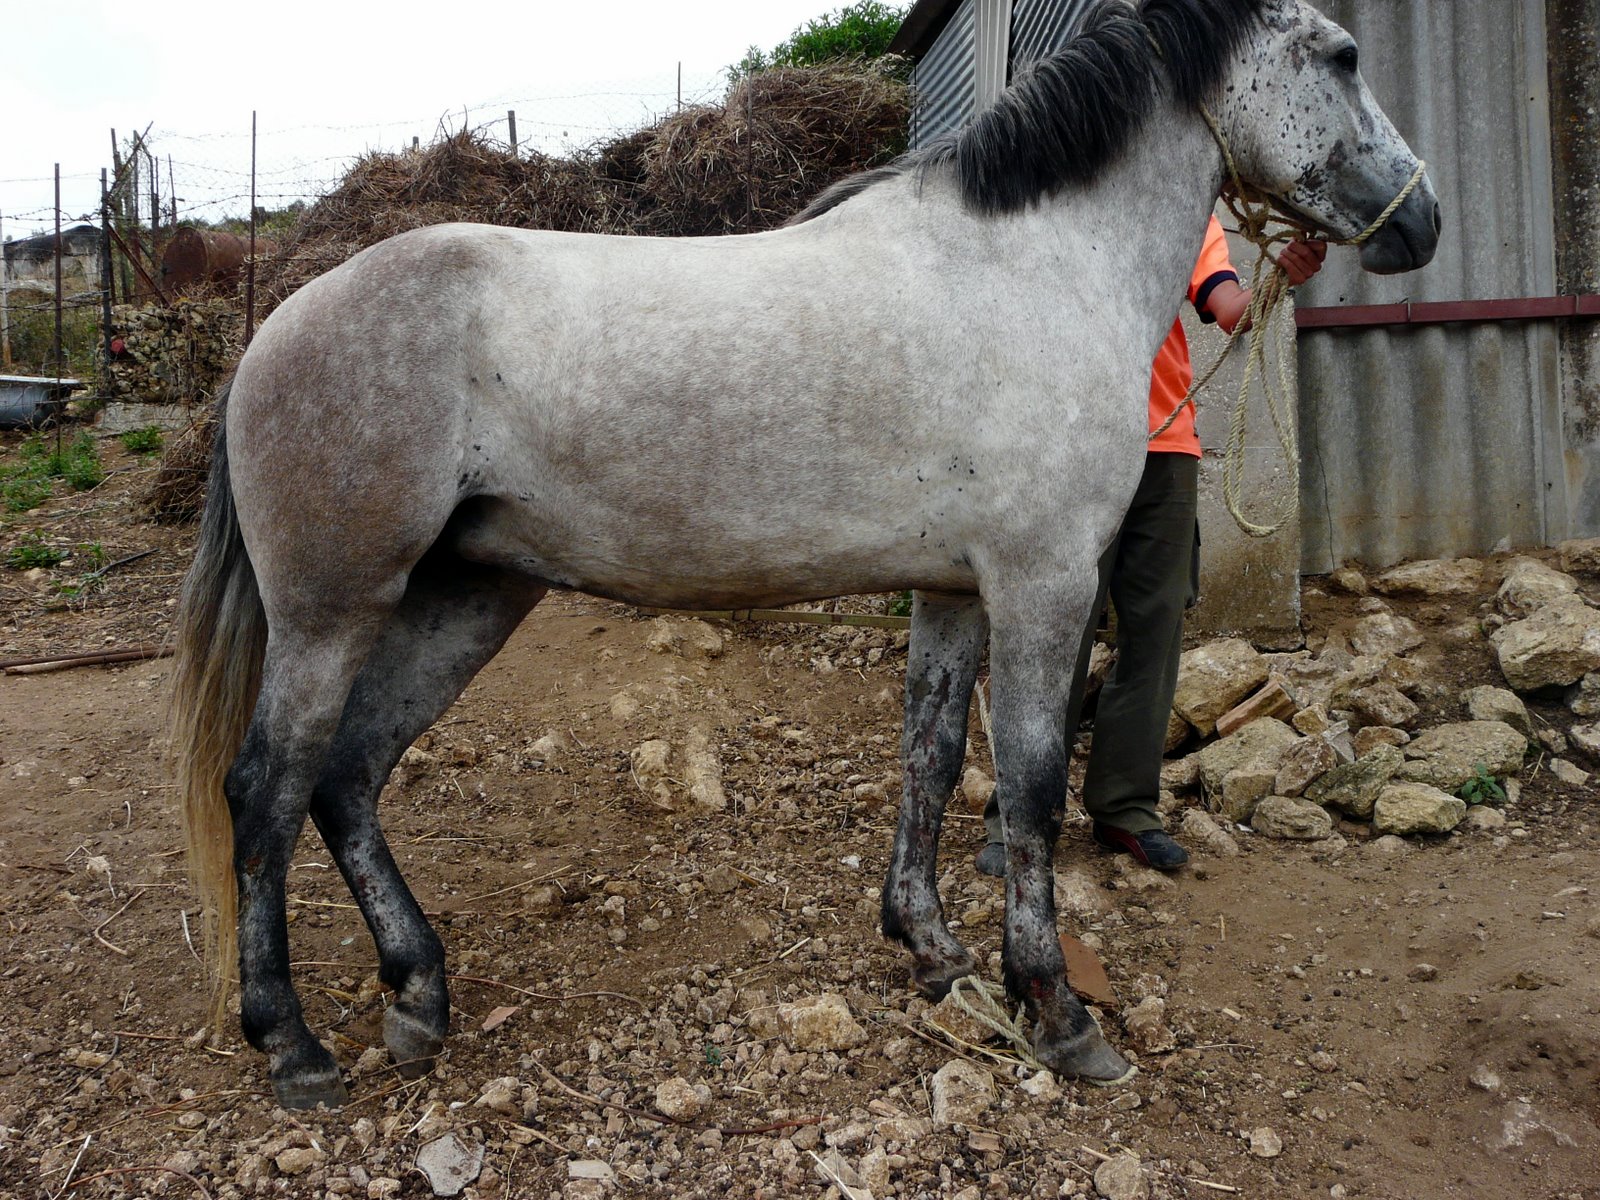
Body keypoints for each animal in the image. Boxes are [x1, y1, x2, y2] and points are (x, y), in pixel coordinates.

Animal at [170, 0, 1440, 1109]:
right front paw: (1056, 1012)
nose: (1419, 222)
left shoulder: (953, 590)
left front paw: (930, 949)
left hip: (469, 595)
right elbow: (1030, 793)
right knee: (267, 789)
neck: (1034, 266)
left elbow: (929, 758)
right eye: (1341, 54)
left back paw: (418, 993)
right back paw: (292, 1045)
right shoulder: (1041, 586)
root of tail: (281, 327)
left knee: (348, 776)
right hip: (333, 611)